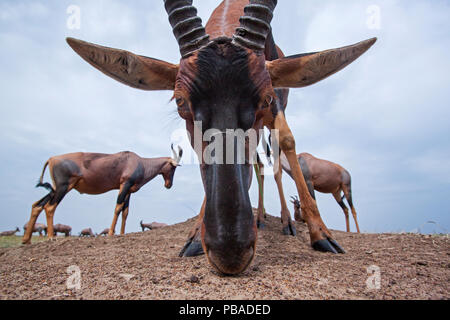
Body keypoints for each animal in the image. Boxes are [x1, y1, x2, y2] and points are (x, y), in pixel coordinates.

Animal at [22, 146, 184, 245]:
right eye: (173, 167)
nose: (168, 185)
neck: (139, 162)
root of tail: (52, 158)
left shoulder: (129, 191)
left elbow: (125, 211)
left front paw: (122, 233)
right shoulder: (124, 185)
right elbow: (118, 207)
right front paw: (112, 233)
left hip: (55, 189)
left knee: (37, 205)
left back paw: (26, 240)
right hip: (63, 187)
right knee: (49, 207)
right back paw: (50, 237)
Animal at [63, 0, 376, 276]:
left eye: (265, 97)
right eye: (180, 101)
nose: (230, 252)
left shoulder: (275, 107)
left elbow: (288, 142)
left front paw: (322, 235)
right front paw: (193, 238)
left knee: (275, 160)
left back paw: (287, 222)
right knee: (259, 165)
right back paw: (261, 219)